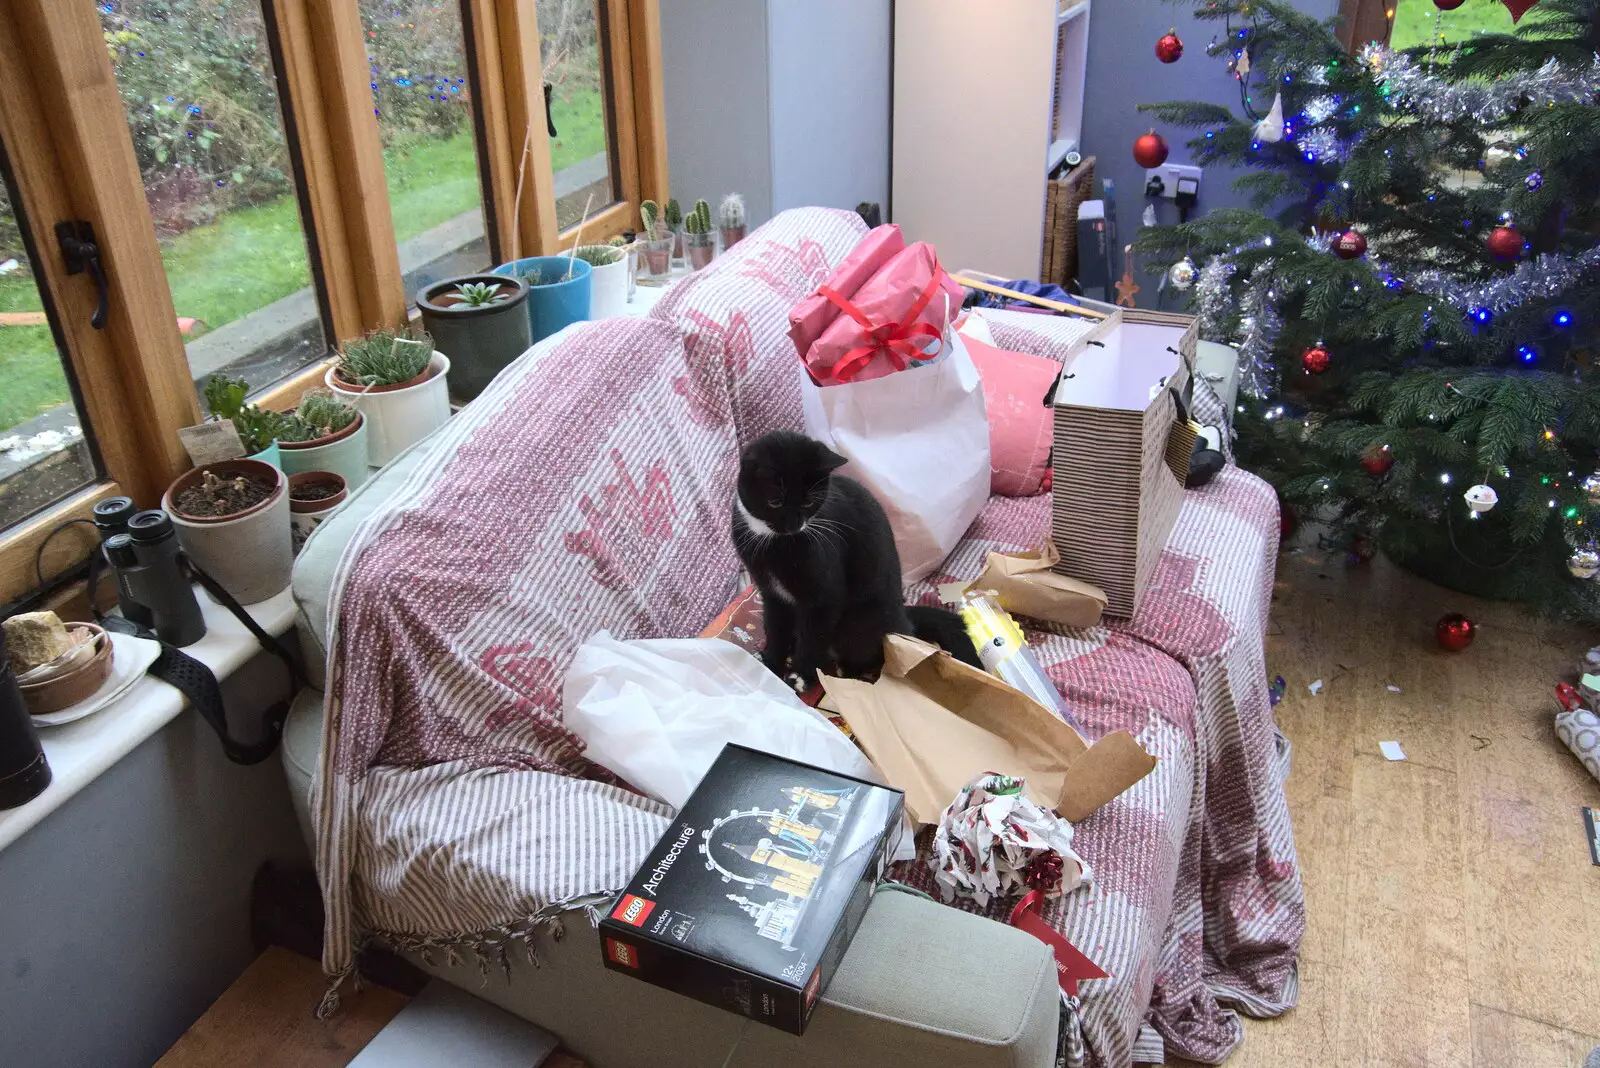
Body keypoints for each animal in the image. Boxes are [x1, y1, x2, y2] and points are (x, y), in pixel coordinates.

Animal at [732, 431, 979, 687]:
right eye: (775, 502)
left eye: (808, 502)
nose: (794, 525)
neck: (773, 542)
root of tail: (904, 621)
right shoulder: (770, 591)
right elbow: (775, 626)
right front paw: (770, 663)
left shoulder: (825, 595)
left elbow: (813, 636)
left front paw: (800, 675)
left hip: (857, 627)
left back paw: (845, 670)